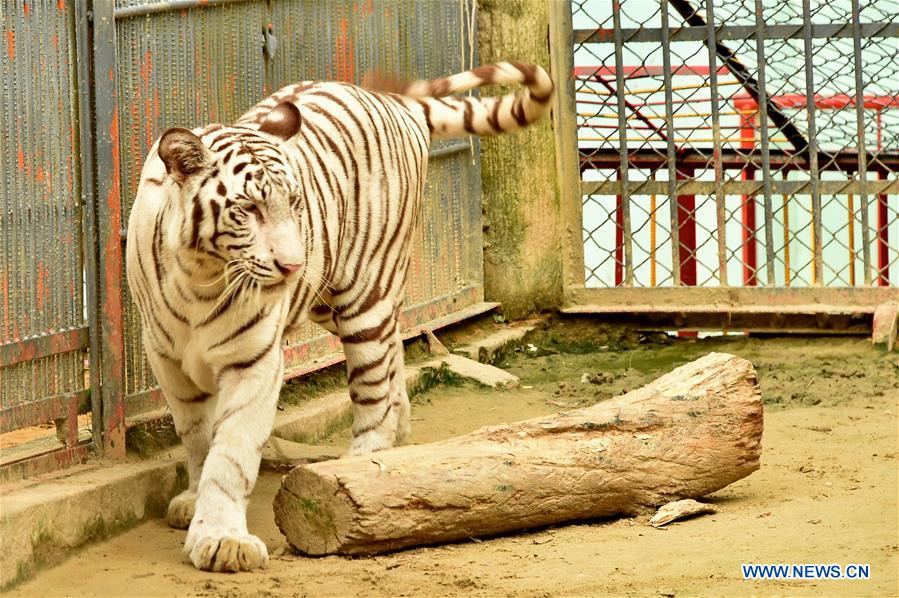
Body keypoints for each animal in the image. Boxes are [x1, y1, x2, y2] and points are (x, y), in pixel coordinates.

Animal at [125, 62, 553, 573]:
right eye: (247, 209)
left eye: (294, 202)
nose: (293, 266)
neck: (201, 278)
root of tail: (392, 100)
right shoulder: (167, 360)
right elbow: (196, 437)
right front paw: (193, 501)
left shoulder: (254, 360)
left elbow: (231, 451)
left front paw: (223, 539)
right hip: (328, 301)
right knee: (393, 347)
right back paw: (399, 428)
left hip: (364, 294)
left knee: (373, 383)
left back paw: (363, 462)